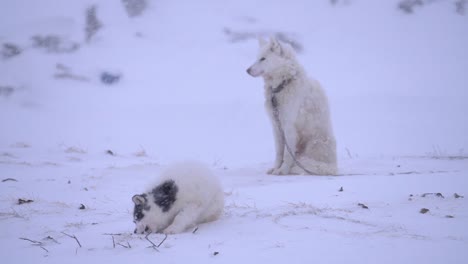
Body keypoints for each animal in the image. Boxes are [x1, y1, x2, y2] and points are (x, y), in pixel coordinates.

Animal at [245, 36, 336, 174]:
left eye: (263, 59)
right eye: (257, 58)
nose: (247, 70)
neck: (282, 85)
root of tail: (333, 166)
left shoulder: (289, 126)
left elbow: (287, 154)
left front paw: (282, 171)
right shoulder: (276, 126)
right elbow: (279, 152)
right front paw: (275, 168)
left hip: (314, 144)